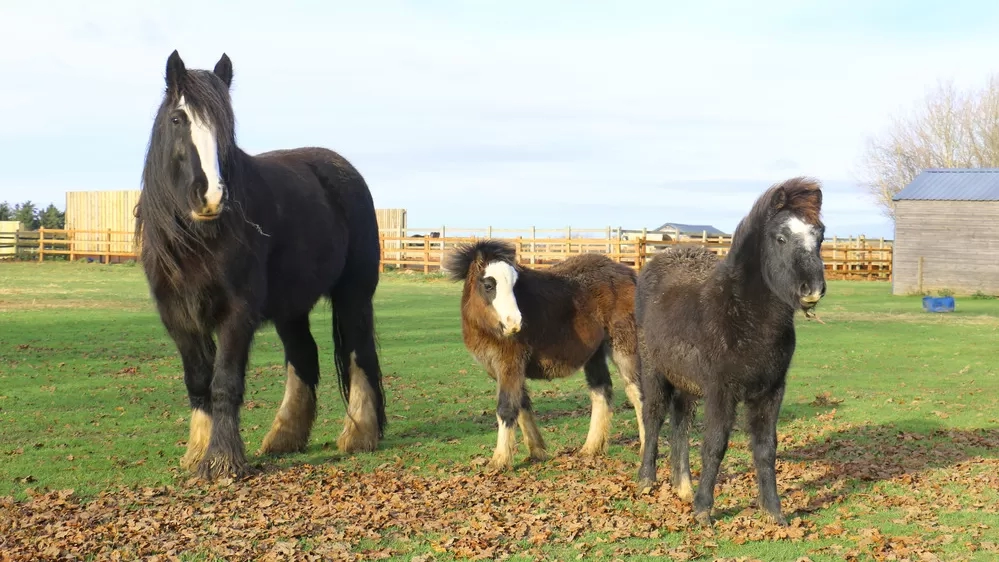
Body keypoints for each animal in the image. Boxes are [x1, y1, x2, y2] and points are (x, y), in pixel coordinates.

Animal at [139, 51, 388, 476]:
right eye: (178, 119)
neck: (196, 238)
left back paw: (360, 435)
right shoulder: (177, 315)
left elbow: (224, 382)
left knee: (359, 354)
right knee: (304, 356)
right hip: (291, 307)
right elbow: (198, 380)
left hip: (352, 295)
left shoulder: (237, 312)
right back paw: (285, 436)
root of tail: (344, 171)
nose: (211, 196)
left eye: (226, 126)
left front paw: (222, 461)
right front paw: (198, 451)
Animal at [640, 178, 828, 524]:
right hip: (654, 369)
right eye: (781, 238)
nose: (812, 290)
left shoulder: (771, 391)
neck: (742, 316)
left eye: (820, 236)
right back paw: (646, 480)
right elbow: (714, 445)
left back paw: (682, 486)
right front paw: (703, 510)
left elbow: (766, 448)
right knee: (654, 416)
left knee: (680, 422)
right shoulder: (720, 391)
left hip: (685, 381)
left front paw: (774, 511)